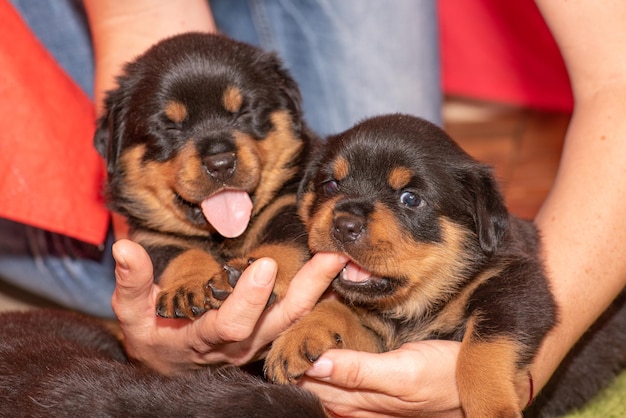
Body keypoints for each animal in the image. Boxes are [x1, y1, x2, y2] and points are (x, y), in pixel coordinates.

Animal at [94, 33, 320, 320]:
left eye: (244, 112)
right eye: (169, 127)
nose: (221, 163)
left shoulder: (289, 204)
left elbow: (283, 240)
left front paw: (245, 271)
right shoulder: (153, 236)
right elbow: (181, 253)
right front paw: (188, 284)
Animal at [264, 113, 624, 418]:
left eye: (410, 198)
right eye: (331, 185)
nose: (343, 225)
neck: (412, 306)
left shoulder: (521, 287)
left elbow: (481, 351)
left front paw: (492, 407)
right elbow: (339, 309)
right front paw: (302, 333)